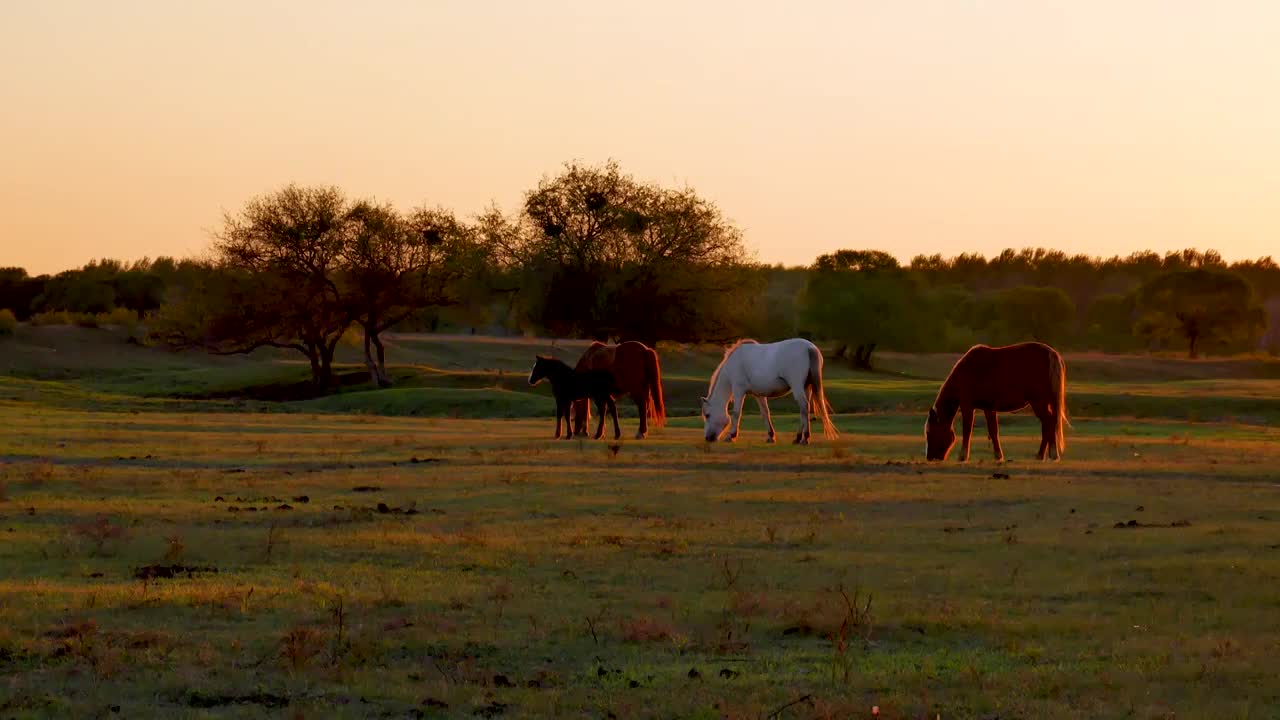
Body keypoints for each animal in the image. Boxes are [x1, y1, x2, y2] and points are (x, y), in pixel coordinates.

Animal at [701, 338, 839, 443]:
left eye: (707, 415)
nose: (708, 438)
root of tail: (809, 348)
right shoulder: (759, 394)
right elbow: (765, 413)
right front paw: (770, 436)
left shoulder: (739, 390)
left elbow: (736, 413)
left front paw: (731, 436)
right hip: (807, 387)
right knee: (804, 409)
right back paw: (798, 437)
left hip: (798, 387)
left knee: (804, 407)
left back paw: (805, 438)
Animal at [926, 340, 1064, 458]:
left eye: (929, 432)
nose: (929, 457)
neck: (966, 372)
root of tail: (1050, 353)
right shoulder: (989, 408)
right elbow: (993, 431)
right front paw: (998, 455)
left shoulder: (967, 407)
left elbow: (967, 430)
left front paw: (963, 456)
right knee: (1050, 423)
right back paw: (1050, 454)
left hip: (1038, 402)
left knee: (1048, 422)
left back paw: (1043, 454)